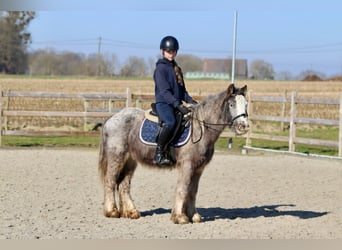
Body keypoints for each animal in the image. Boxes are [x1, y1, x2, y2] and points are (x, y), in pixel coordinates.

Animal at [97, 83, 250, 224]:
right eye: (231, 104)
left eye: (246, 104)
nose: (244, 126)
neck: (200, 128)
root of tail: (112, 118)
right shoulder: (186, 165)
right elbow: (182, 188)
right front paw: (179, 217)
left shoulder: (198, 168)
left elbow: (192, 191)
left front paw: (194, 216)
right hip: (116, 157)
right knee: (110, 181)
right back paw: (111, 211)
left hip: (130, 161)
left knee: (124, 184)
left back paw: (131, 212)